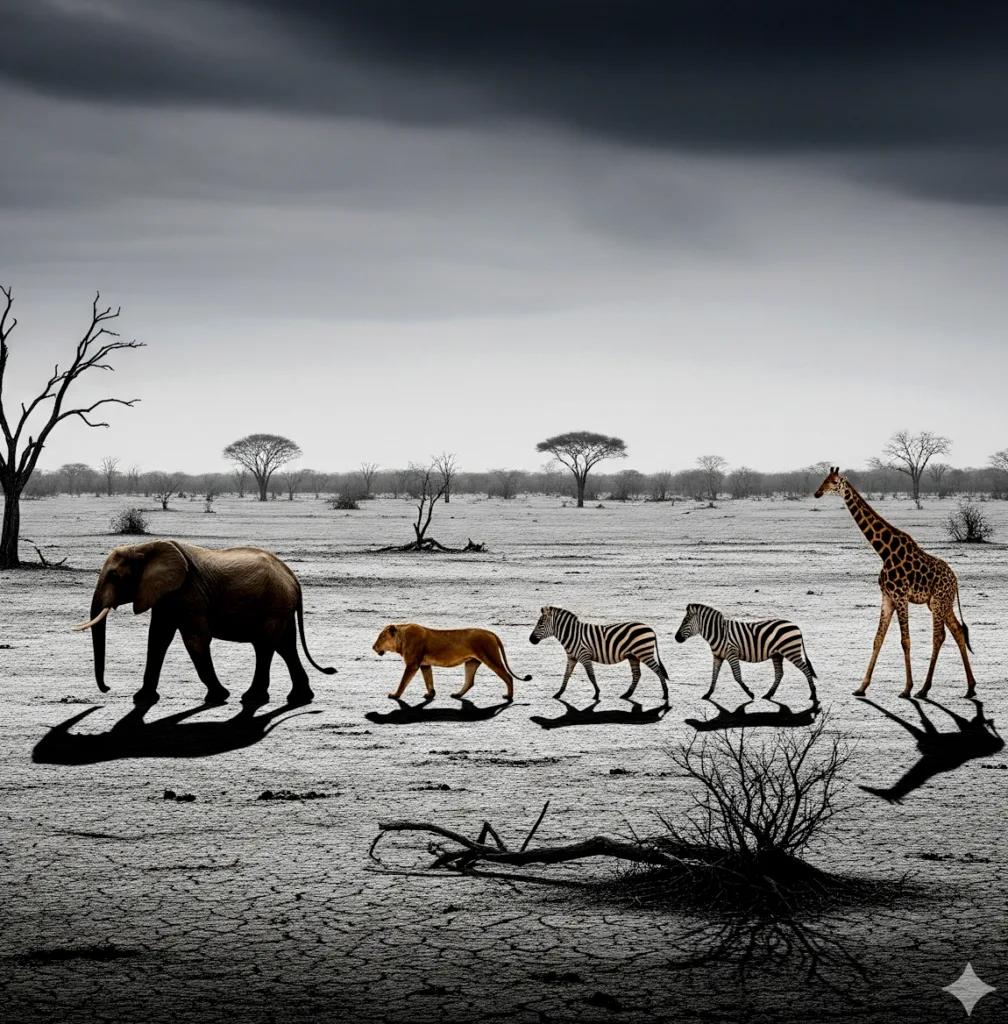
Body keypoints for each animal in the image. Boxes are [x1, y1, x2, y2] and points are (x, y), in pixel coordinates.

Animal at [74, 540, 336, 708]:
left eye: (114, 576)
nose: (107, 688)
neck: (144, 548)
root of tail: (292, 577)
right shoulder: (165, 595)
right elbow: (157, 639)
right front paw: (142, 699)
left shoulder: (188, 593)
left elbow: (195, 640)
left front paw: (218, 697)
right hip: (281, 606)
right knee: (286, 646)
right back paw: (300, 698)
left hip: (274, 604)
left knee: (265, 646)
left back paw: (252, 698)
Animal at [814, 467, 976, 699]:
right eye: (824, 479)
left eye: (834, 482)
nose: (817, 493)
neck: (884, 551)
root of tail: (955, 580)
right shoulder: (887, 597)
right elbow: (878, 638)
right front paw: (861, 687)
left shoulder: (900, 596)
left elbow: (905, 640)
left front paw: (907, 688)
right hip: (942, 603)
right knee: (958, 631)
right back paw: (970, 688)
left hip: (938, 602)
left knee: (939, 636)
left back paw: (924, 689)